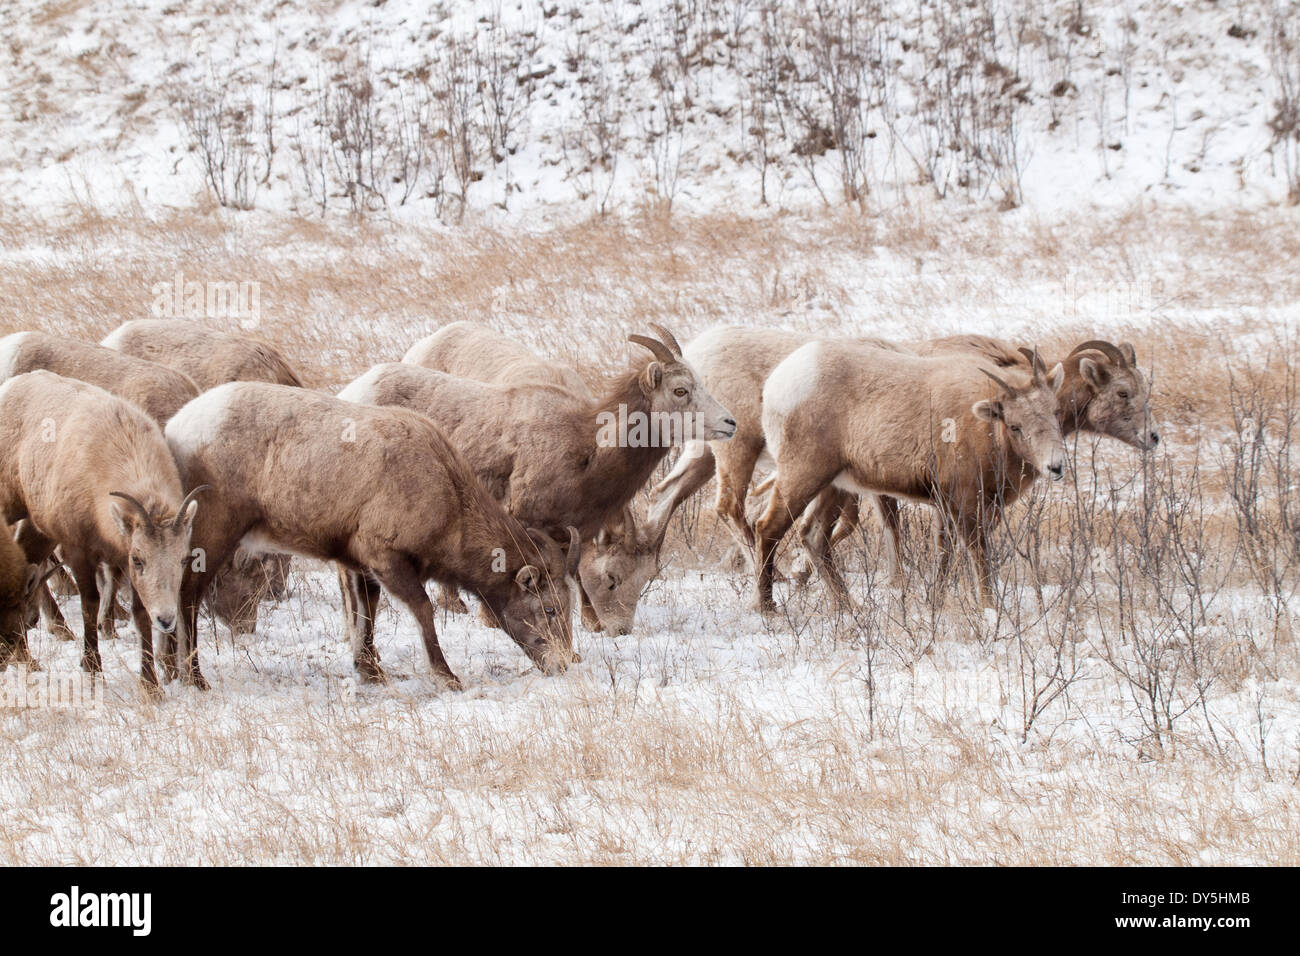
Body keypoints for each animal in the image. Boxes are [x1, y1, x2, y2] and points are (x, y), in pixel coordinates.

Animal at [0, 371, 204, 689]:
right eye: (139, 559)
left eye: (183, 559)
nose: (166, 619)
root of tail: (11, 385)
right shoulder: (79, 551)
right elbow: (90, 604)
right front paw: (92, 668)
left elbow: (139, 615)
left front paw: (151, 685)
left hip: (38, 528)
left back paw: (26, 657)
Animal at [164, 382, 582, 690]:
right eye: (549, 608)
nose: (563, 664)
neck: (450, 503)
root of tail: (174, 429)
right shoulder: (385, 557)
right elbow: (422, 610)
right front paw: (446, 677)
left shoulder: (360, 565)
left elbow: (365, 617)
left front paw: (369, 671)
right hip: (213, 534)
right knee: (187, 598)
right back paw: (194, 679)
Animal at [754, 342, 1067, 611]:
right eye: (1015, 426)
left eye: (1055, 412)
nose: (1056, 467)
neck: (986, 433)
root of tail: (775, 385)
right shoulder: (966, 503)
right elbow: (978, 556)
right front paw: (989, 607)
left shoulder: (947, 505)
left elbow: (944, 553)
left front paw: (936, 603)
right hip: (803, 475)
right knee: (768, 528)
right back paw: (767, 607)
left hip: (835, 486)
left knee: (813, 537)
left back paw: (849, 606)